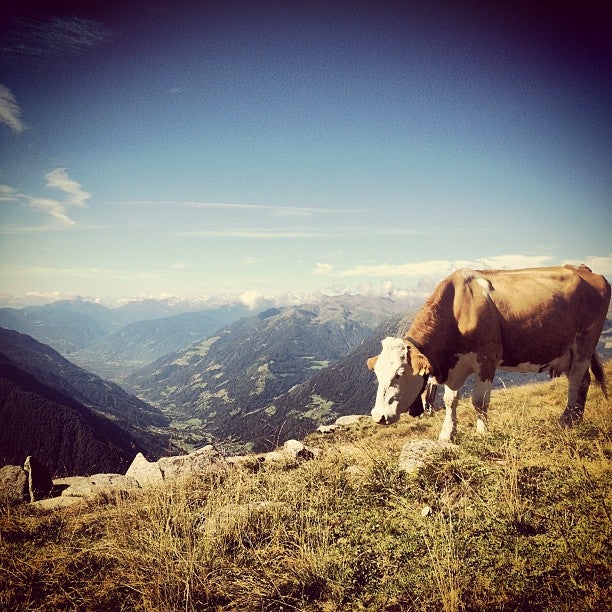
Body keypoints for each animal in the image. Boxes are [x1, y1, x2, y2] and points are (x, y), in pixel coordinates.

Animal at [366, 262, 608, 440]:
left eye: (399, 374)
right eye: (377, 375)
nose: (379, 416)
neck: (457, 310)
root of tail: (582, 268)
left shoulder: (487, 359)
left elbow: (479, 400)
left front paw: (483, 432)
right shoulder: (456, 366)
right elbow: (451, 400)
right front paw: (448, 435)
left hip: (584, 344)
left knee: (576, 381)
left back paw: (567, 420)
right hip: (567, 352)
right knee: (583, 381)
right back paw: (576, 419)